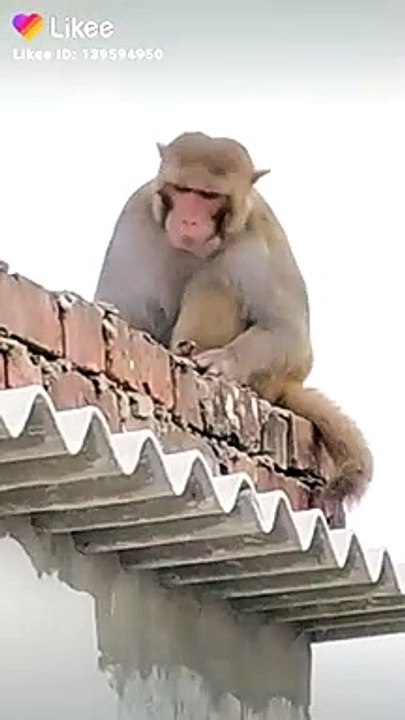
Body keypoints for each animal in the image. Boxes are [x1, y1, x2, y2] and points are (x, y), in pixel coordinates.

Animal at [94, 131, 373, 505]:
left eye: (209, 196)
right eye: (183, 189)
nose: (189, 220)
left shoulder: (260, 236)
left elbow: (293, 339)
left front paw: (224, 362)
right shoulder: (135, 216)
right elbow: (124, 310)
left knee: (218, 280)